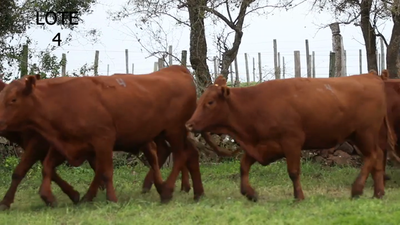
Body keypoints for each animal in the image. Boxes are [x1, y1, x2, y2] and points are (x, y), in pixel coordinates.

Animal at [185, 71, 396, 201]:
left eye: (210, 102)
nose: (189, 124)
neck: (255, 105)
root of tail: (371, 77)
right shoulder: (262, 146)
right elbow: (243, 167)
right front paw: (249, 192)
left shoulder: (291, 142)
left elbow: (293, 172)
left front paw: (299, 197)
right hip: (363, 135)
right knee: (377, 158)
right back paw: (378, 193)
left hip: (364, 133)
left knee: (372, 156)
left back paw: (357, 189)